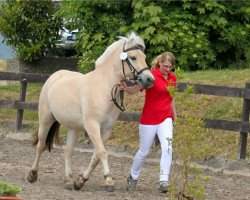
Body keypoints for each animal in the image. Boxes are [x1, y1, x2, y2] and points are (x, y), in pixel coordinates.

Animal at [27, 32, 155, 191]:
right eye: (133, 57)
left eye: (144, 57)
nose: (150, 79)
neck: (103, 88)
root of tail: (55, 75)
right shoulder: (92, 126)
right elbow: (102, 153)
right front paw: (109, 181)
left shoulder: (106, 129)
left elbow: (96, 156)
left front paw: (80, 181)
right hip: (46, 119)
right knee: (41, 146)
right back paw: (32, 174)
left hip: (73, 128)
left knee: (68, 151)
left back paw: (68, 180)